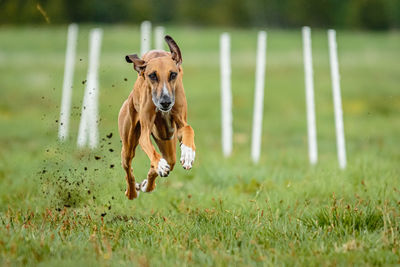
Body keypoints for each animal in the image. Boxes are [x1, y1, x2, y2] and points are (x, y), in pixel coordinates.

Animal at [117, 35, 195, 201]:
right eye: (152, 75)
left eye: (173, 74)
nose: (165, 102)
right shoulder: (145, 130)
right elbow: (150, 149)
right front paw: (159, 163)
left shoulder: (180, 123)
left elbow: (188, 129)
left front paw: (188, 153)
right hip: (128, 144)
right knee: (128, 167)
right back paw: (132, 191)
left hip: (167, 143)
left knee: (169, 161)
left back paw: (148, 185)